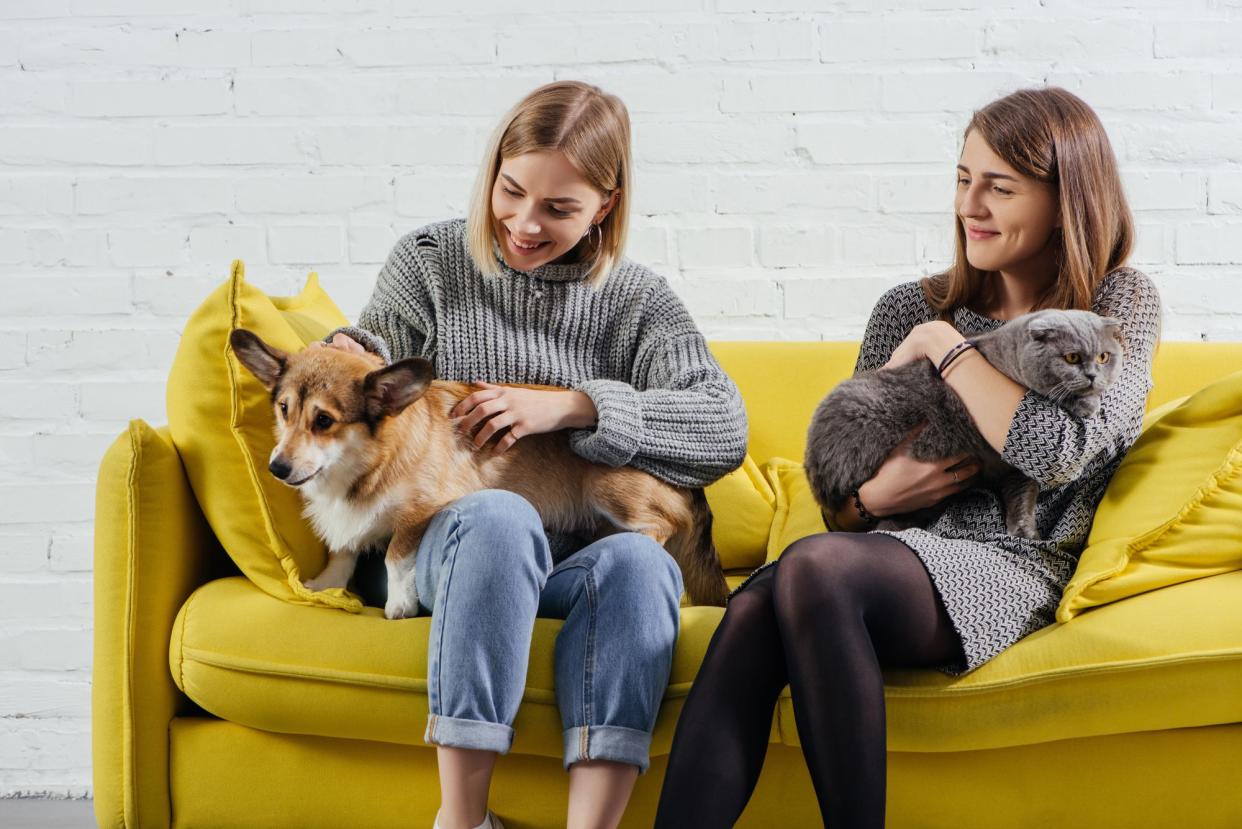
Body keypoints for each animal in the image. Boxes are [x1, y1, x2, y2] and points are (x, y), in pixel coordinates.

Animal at [229, 328, 730, 618]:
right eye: (284, 409)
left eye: (324, 421)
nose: (277, 468)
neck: (369, 460)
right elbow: (344, 550)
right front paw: (328, 587)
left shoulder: (421, 513)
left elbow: (395, 556)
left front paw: (399, 604)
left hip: (610, 485)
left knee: (663, 524)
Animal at [804, 309, 1127, 539]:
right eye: (1071, 357)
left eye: (1104, 356)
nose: (1093, 376)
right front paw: (1086, 402)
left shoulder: (1016, 469)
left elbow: (1023, 497)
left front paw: (1025, 532)